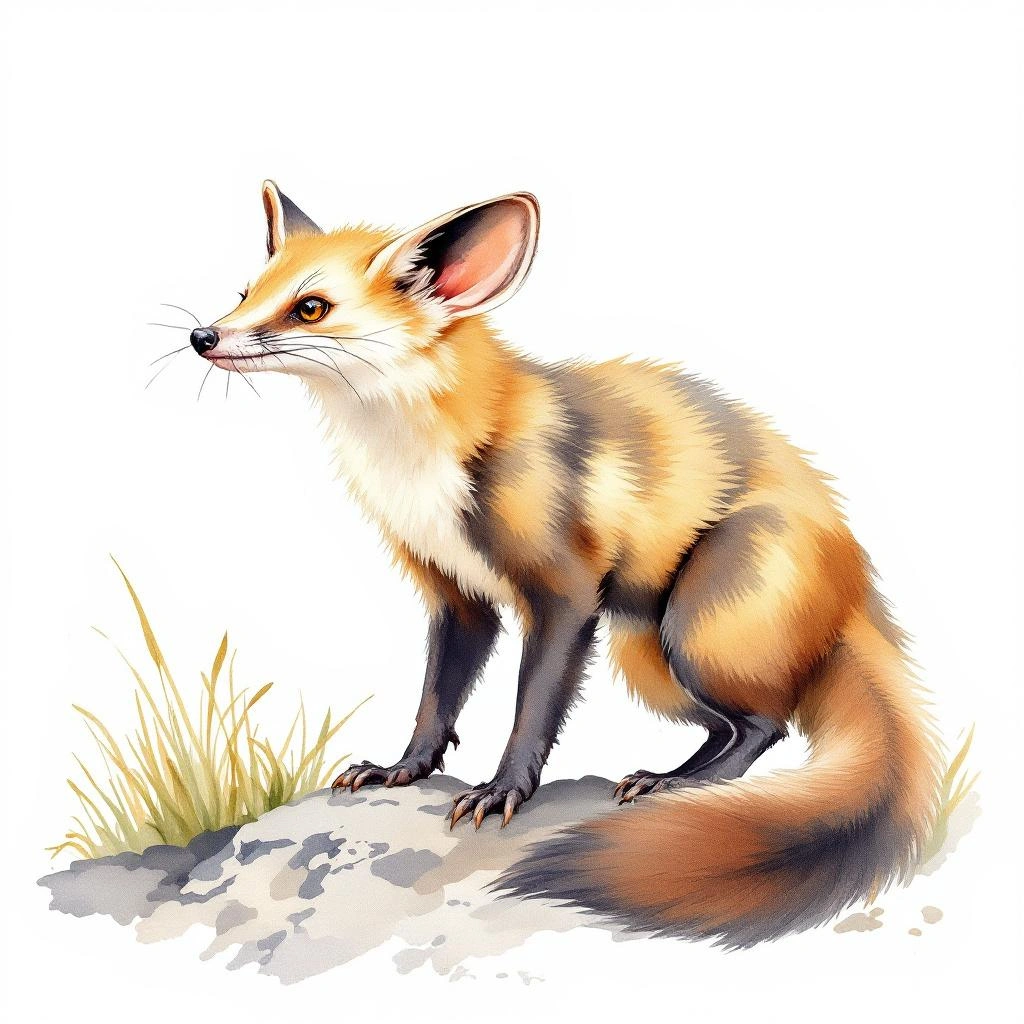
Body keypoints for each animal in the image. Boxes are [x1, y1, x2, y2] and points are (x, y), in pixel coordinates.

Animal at [187, 181, 942, 947]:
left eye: (311, 307)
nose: (203, 337)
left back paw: (676, 786)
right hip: (646, 658)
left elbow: (532, 711)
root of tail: (856, 587)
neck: (418, 472)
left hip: (688, 630)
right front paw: (398, 770)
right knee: (734, 726)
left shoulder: (566, 594)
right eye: (247, 291)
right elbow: (435, 703)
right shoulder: (456, 597)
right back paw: (663, 777)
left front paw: (500, 791)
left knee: (767, 725)